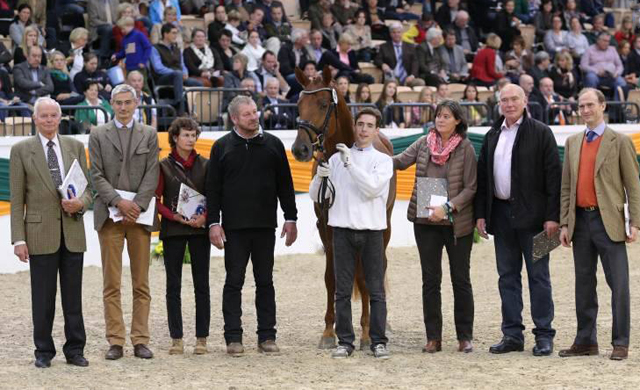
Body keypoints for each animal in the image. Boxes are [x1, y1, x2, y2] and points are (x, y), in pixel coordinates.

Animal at [292, 68, 396, 350]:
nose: (299, 149)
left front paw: (366, 333)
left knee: (378, 269)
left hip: (385, 228)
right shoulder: (326, 228)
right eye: (298, 105)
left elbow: (365, 278)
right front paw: (330, 331)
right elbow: (332, 278)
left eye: (323, 104)